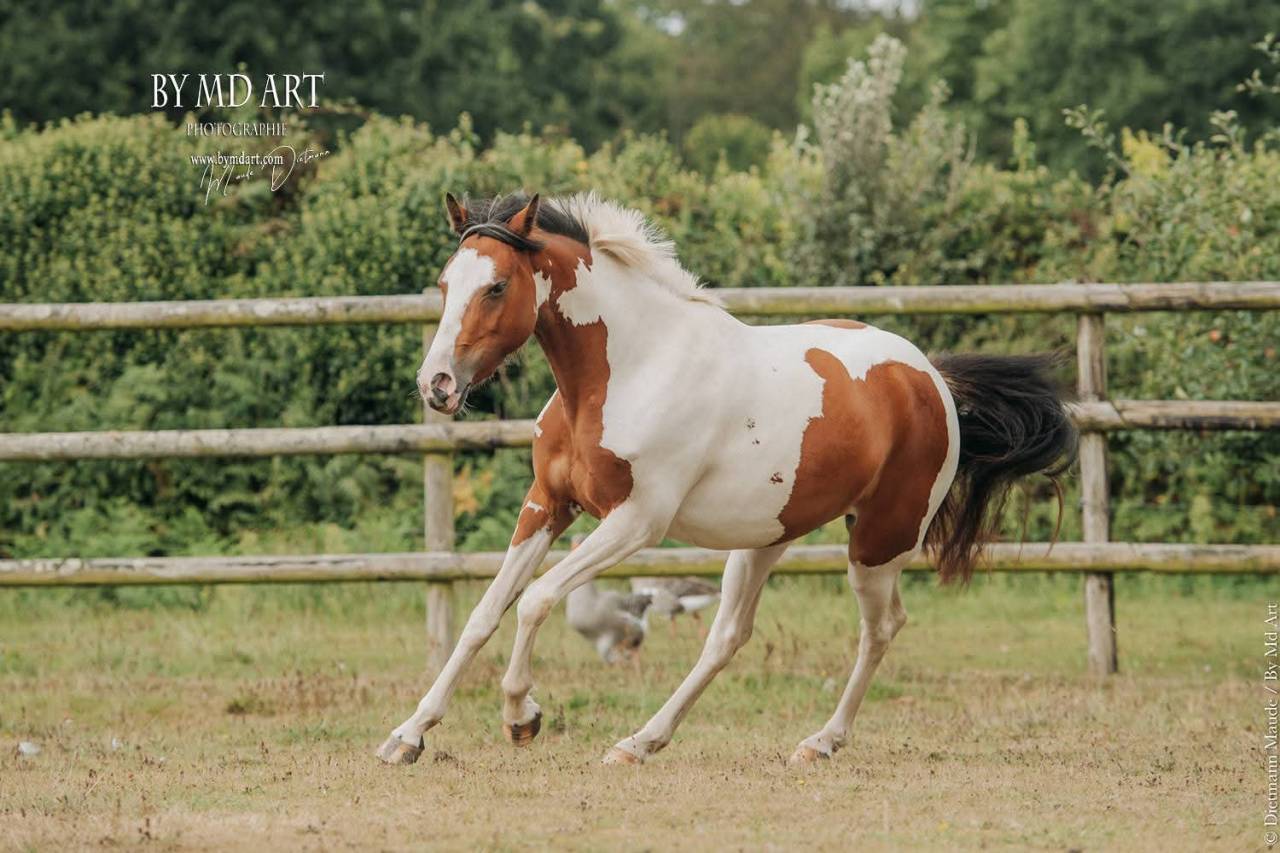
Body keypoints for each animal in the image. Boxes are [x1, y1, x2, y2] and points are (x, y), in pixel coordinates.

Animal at [377, 191, 1076, 766]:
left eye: (496, 286)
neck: (631, 368)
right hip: (765, 537)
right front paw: (407, 737)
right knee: (727, 636)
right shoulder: (547, 505)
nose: (437, 385)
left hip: (879, 540)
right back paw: (640, 742)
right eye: (445, 283)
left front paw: (522, 717)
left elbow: (536, 601)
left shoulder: (636, 522)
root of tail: (928, 377)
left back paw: (820, 743)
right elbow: (484, 614)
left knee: (880, 628)